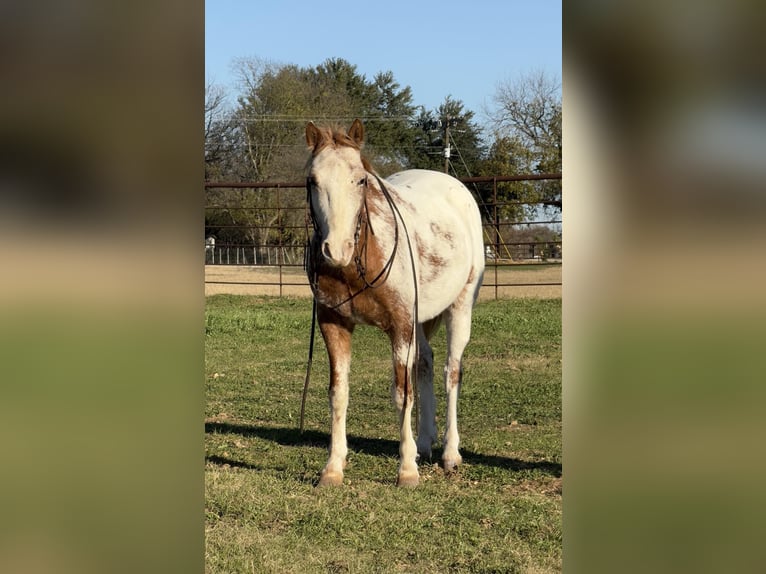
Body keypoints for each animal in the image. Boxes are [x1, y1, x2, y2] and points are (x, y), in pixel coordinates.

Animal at [306, 119, 486, 488]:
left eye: (360, 179)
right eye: (312, 180)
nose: (336, 250)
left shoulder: (400, 326)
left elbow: (403, 393)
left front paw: (407, 471)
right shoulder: (334, 323)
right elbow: (338, 392)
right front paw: (332, 468)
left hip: (460, 308)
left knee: (452, 371)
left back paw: (450, 454)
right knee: (426, 364)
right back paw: (425, 443)